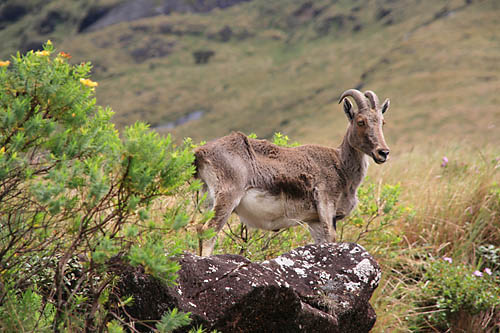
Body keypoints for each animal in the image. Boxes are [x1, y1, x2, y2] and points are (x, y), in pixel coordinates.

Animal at [195, 87, 390, 254]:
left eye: (382, 122)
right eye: (360, 121)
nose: (383, 152)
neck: (341, 166)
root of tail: (200, 153)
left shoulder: (314, 220)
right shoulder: (326, 202)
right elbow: (332, 238)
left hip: (208, 199)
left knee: (199, 228)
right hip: (228, 196)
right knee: (209, 230)